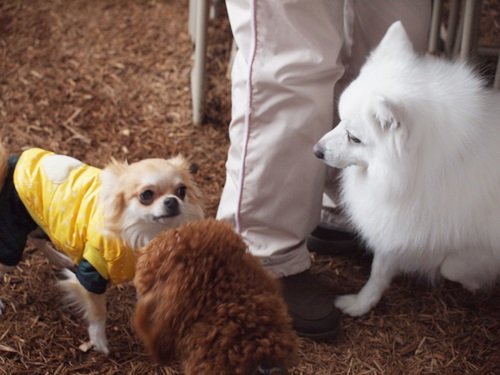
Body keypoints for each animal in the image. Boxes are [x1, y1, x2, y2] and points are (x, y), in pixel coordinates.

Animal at [314, 21, 500, 318]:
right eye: (340, 120)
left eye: (354, 138)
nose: (316, 150)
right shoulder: (398, 222)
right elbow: (379, 271)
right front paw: (360, 304)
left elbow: (452, 265)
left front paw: (474, 281)